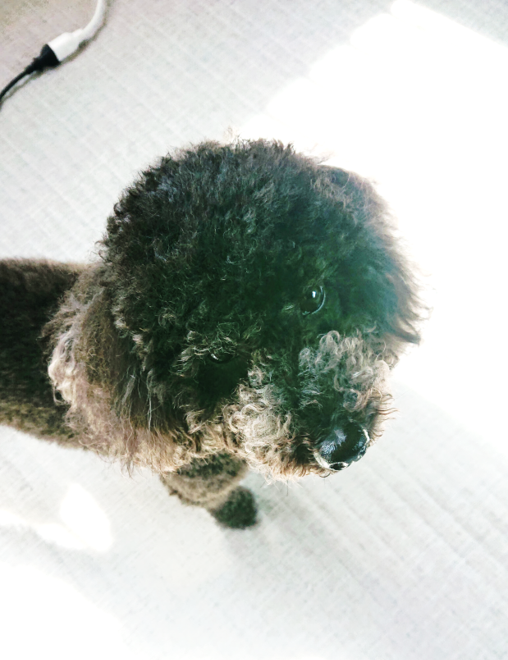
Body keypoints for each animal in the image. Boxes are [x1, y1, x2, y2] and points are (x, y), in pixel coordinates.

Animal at [0, 140, 422, 528]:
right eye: (219, 356)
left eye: (314, 297)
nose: (344, 445)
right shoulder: (194, 483)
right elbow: (210, 499)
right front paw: (237, 512)